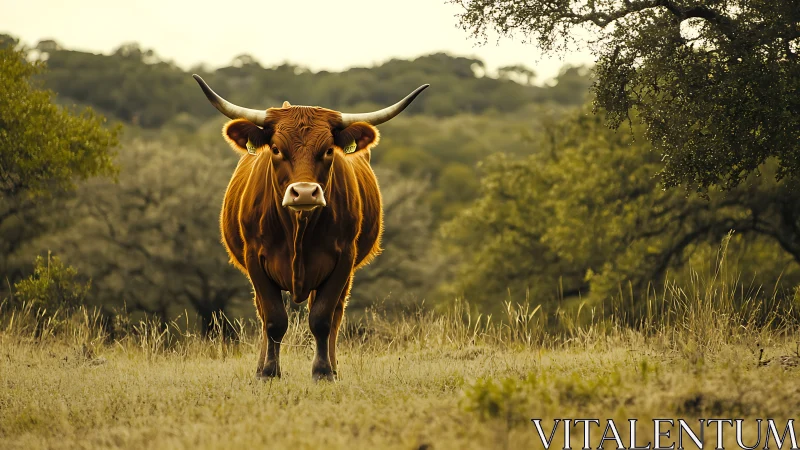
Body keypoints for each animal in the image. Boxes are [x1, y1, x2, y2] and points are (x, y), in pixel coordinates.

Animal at [192, 75, 428, 381]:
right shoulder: (254, 259)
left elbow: (322, 318)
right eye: (276, 149)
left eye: (328, 150)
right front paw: (268, 372)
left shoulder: (343, 260)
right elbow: (273, 319)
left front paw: (324, 371)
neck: (298, 229)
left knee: (335, 313)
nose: (304, 193)